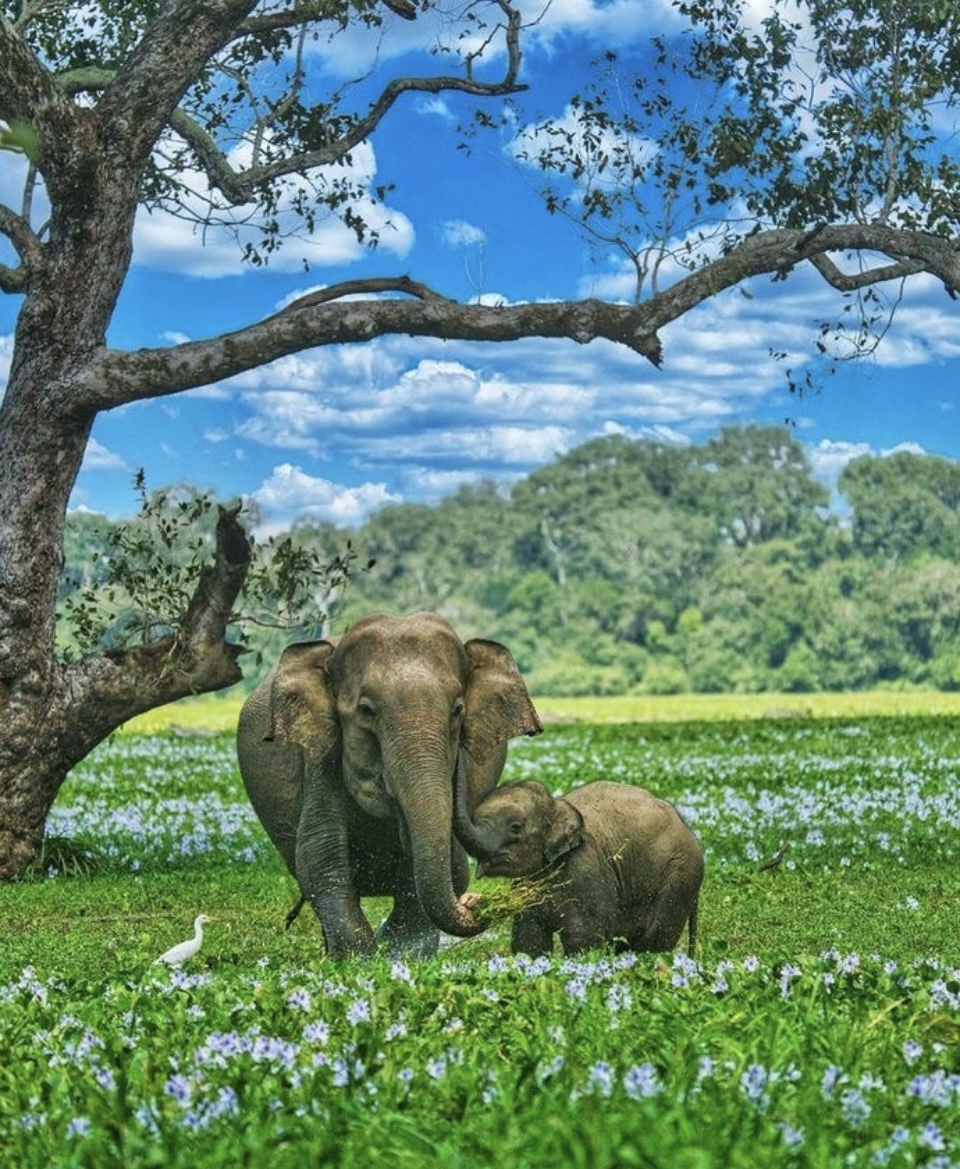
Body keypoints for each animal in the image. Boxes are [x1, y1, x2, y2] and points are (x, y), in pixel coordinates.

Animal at [236, 611, 542, 958]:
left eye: (458, 710)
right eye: (366, 710)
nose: (474, 903)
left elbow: (424, 872)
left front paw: (402, 957)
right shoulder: (321, 761)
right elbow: (321, 861)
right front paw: (361, 960)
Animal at [456, 779, 703, 958]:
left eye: (515, 827)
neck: (558, 805)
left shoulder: (586, 870)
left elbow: (584, 936)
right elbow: (529, 939)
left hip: (679, 876)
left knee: (655, 938)